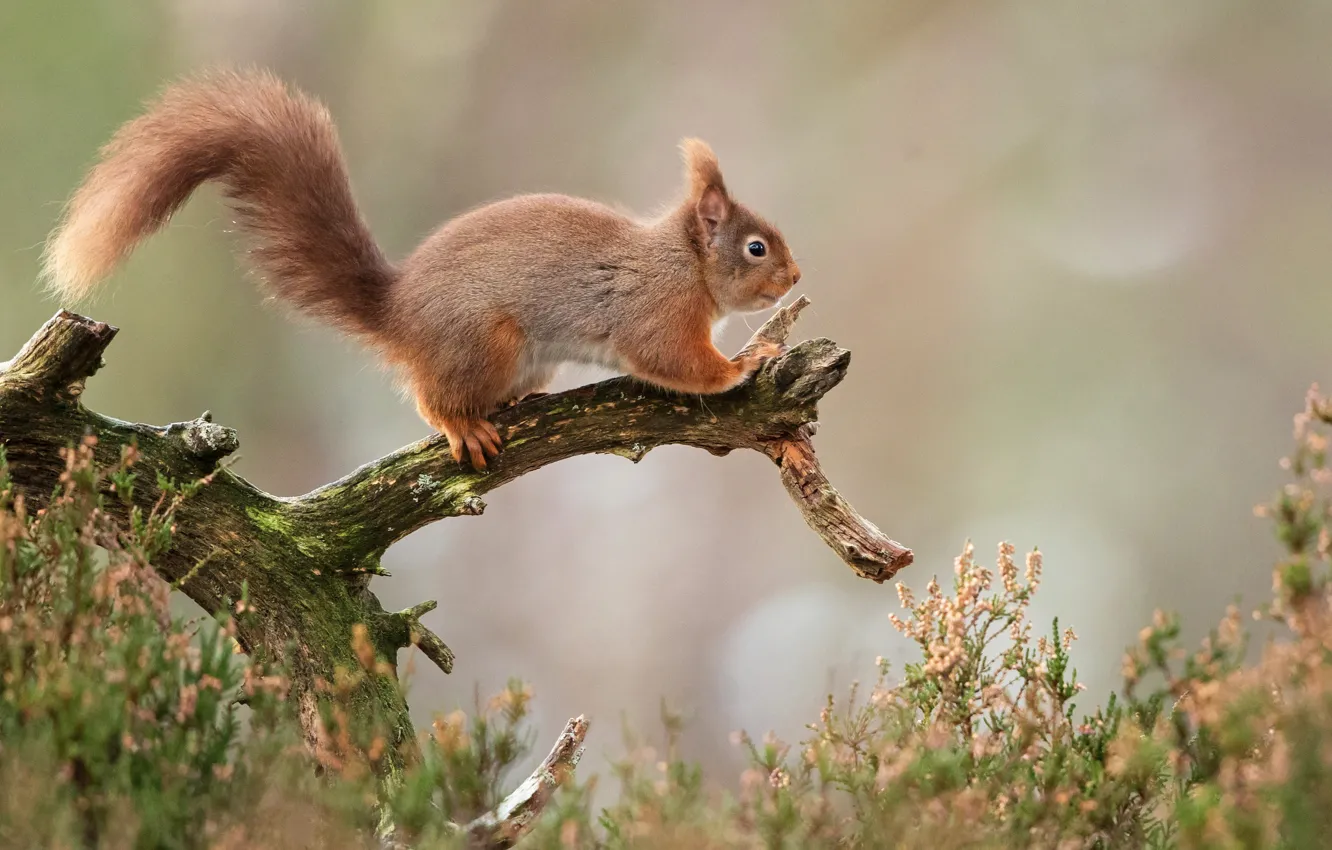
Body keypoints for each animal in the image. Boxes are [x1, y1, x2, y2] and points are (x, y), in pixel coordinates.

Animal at [44, 70, 799, 474]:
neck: (685, 262)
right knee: (430, 399)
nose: (794, 278)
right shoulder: (656, 310)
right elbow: (675, 361)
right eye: (756, 248)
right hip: (483, 341)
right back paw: (463, 424)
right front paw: (745, 362)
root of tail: (398, 314)